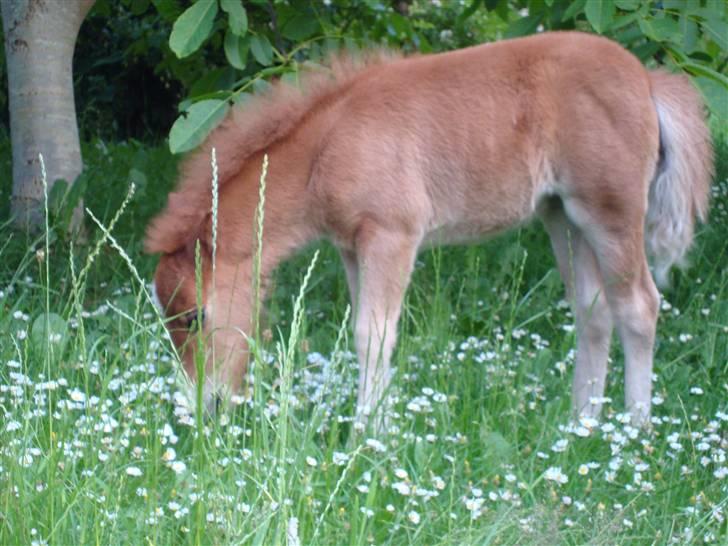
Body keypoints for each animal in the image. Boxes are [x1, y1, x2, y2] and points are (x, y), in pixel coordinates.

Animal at [146, 31, 712, 424]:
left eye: (195, 316)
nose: (203, 406)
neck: (327, 145)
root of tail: (647, 81)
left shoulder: (391, 236)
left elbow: (373, 336)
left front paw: (365, 439)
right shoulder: (352, 246)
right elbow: (366, 334)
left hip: (610, 211)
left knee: (638, 306)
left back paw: (633, 435)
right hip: (562, 215)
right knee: (593, 312)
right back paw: (580, 429)